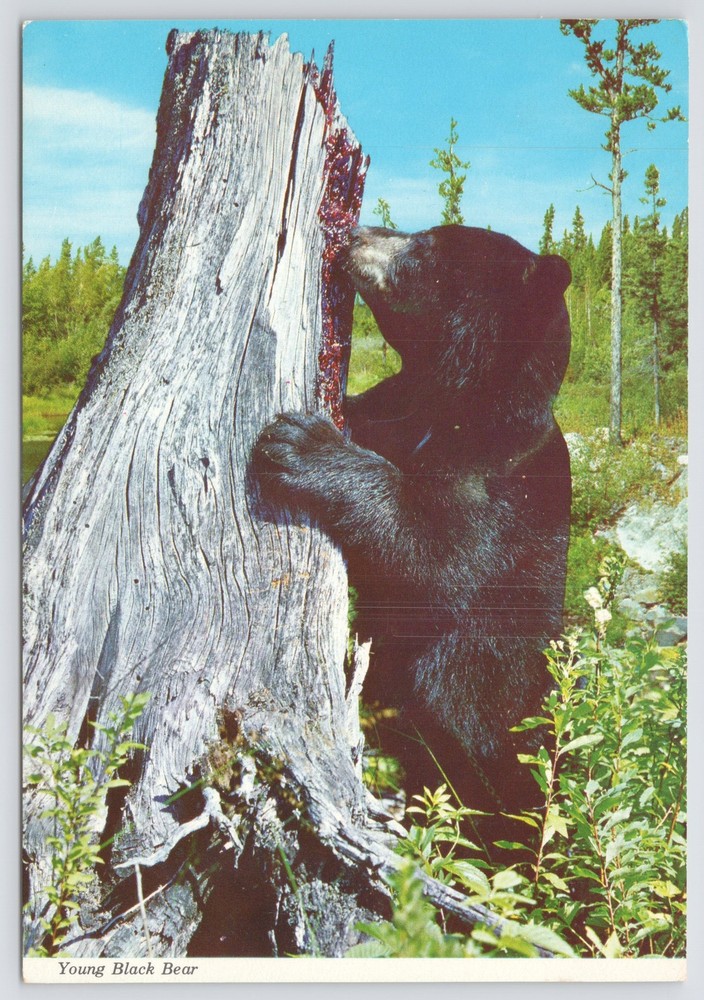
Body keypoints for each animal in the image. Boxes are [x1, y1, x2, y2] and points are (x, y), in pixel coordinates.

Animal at [253, 224, 572, 813]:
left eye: (426, 246)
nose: (358, 233)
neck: (449, 400)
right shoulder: (396, 411)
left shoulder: (496, 477)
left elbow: (435, 557)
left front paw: (300, 442)